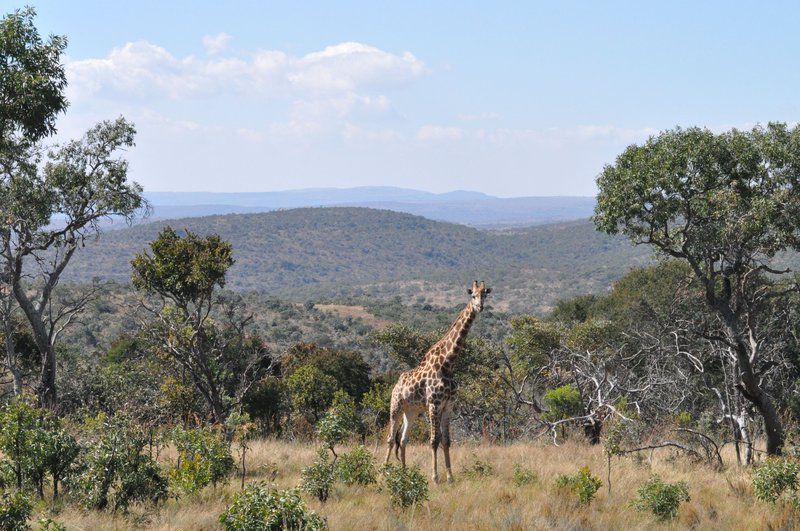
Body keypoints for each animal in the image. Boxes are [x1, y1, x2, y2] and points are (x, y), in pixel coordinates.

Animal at [384, 280, 490, 484]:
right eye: (473, 295)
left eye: (485, 295)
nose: (479, 307)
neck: (447, 363)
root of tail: (395, 385)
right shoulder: (434, 403)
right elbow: (434, 440)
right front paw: (435, 478)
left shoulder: (448, 405)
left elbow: (446, 441)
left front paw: (450, 477)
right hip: (396, 407)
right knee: (391, 438)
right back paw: (382, 470)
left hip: (411, 412)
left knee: (403, 439)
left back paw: (404, 473)